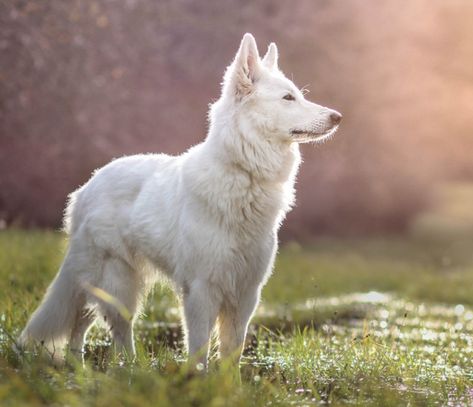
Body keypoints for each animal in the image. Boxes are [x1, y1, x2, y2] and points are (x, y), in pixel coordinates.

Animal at [20, 34, 340, 366]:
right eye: (288, 98)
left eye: (297, 95)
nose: (338, 117)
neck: (243, 173)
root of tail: (86, 188)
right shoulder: (201, 290)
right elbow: (199, 351)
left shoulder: (245, 293)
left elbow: (231, 356)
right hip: (117, 283)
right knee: (117, 333)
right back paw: (126, 370)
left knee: (80, 325)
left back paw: (80, 368)